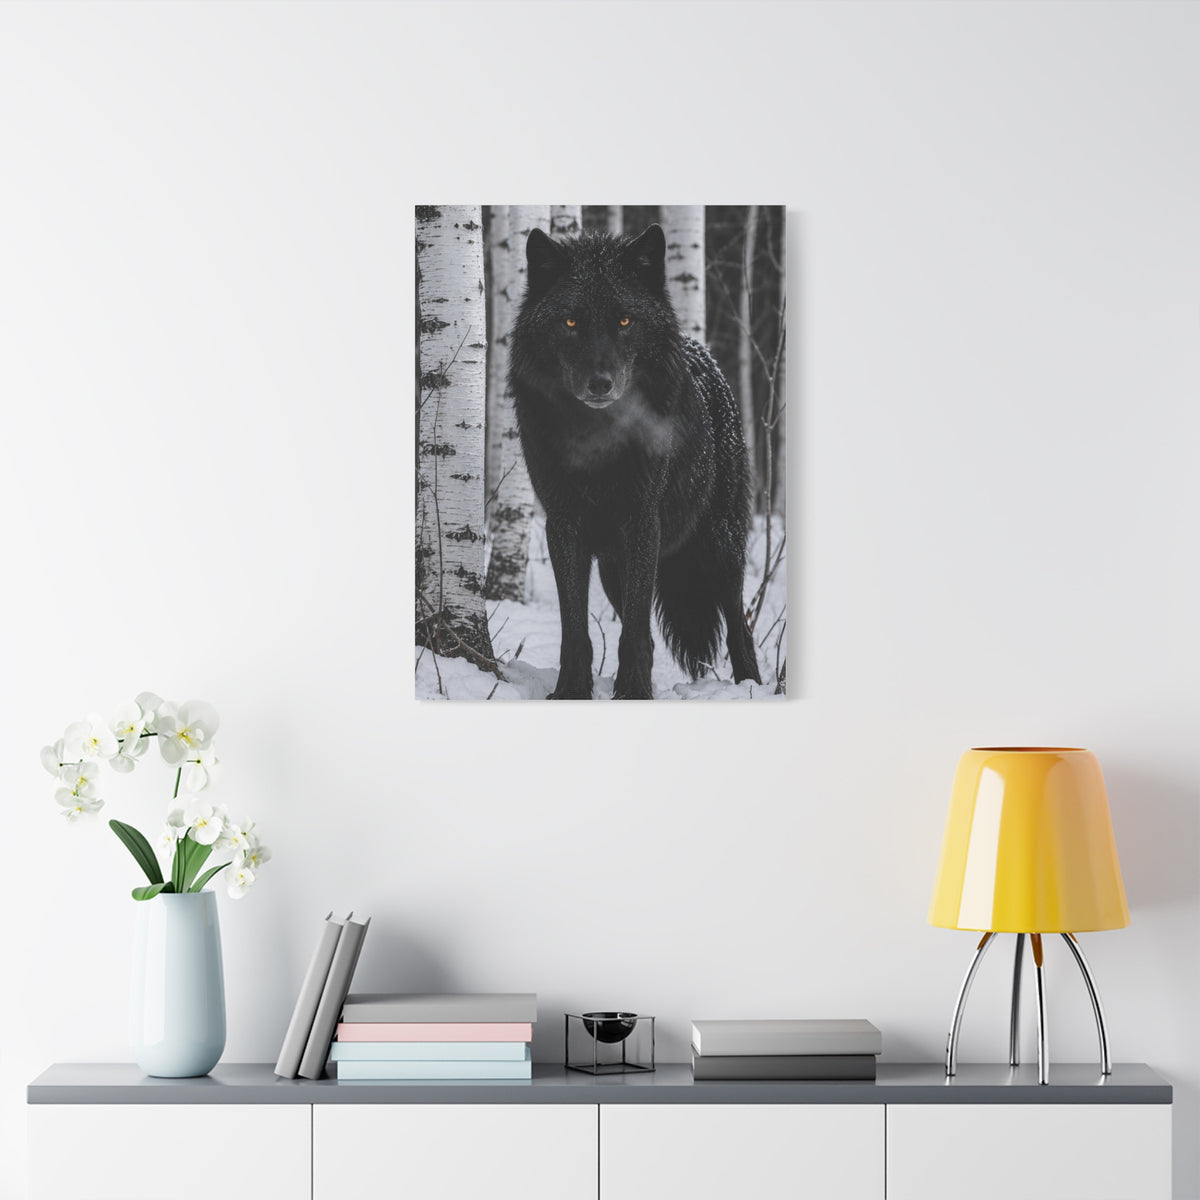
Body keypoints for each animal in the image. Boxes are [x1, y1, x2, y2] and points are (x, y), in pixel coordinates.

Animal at [509, 223, 762, 700]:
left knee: (740, 626)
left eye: (625, 321)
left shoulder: (643, 521)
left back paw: (752, 687)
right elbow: (577, 628)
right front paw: (572, 691)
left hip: (719, 547)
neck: (597, 438)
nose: (600, 383)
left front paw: (633, 692)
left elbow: (636, 631)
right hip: (614, 567)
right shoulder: (563, 525)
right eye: (570, 322)